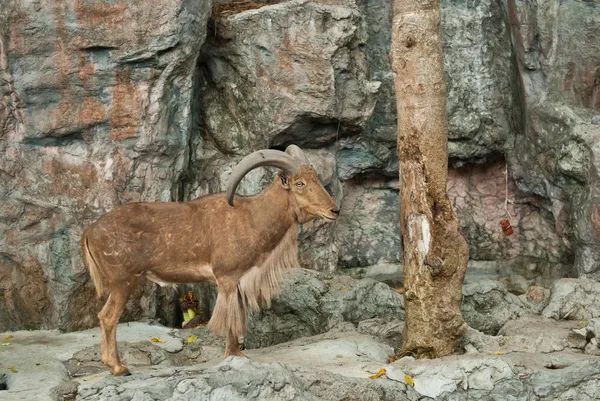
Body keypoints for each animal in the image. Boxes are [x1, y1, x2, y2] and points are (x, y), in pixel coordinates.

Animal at [81, 145, 338, 376]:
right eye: (299, 183)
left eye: (315, 179)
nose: (334, 211)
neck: (253, 217)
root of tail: (90, 231)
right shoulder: (227, 278)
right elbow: (231, 319)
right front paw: (232, 355)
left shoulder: (239, 282)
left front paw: (239, 355)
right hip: (122, 282)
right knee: (108, 318)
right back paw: (118, 368)